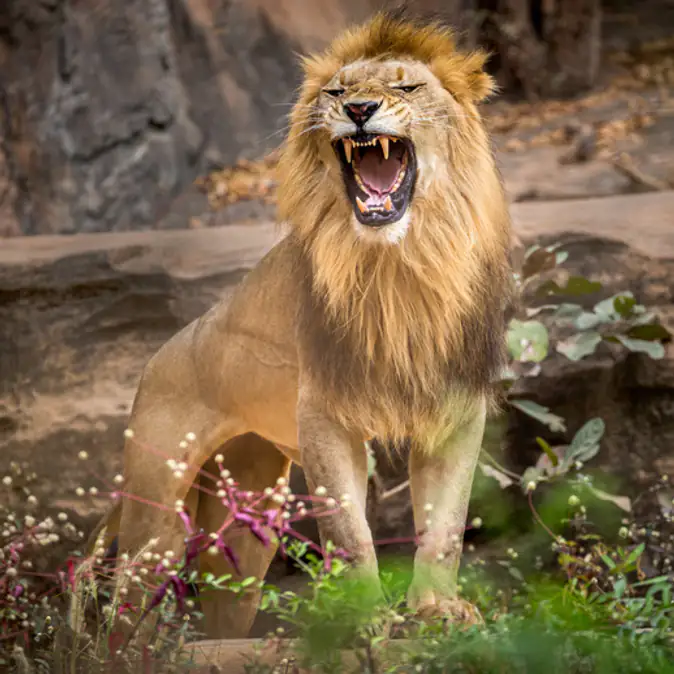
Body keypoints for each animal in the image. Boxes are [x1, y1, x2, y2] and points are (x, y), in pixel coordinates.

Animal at [91, 12, 514, 640]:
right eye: (336, 91)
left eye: (408, 87)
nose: (359, 109)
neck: (400, 264)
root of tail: (156, 359)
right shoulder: (324, 412)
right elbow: (348, 529)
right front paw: (365, 618)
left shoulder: (456, 407)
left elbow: (446, 525)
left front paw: (439, 610)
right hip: (156, 517)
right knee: (125, 610)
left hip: (245, 529)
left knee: (223, 606)